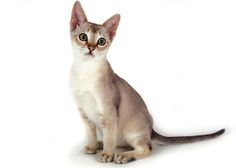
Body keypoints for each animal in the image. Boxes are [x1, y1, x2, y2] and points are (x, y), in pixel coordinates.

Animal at [68, 0, 225, 164]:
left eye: (101, 41)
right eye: (83, 37)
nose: (91, 48)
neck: (85, 71)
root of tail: (151, 130)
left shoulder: (109, 111)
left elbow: (110, 137)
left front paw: (107, 154)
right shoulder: (83, 112)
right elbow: (91, 133)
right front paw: (93, 146)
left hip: (132, 132)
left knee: (146, 148)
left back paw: (124, 155)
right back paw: (100, 144)